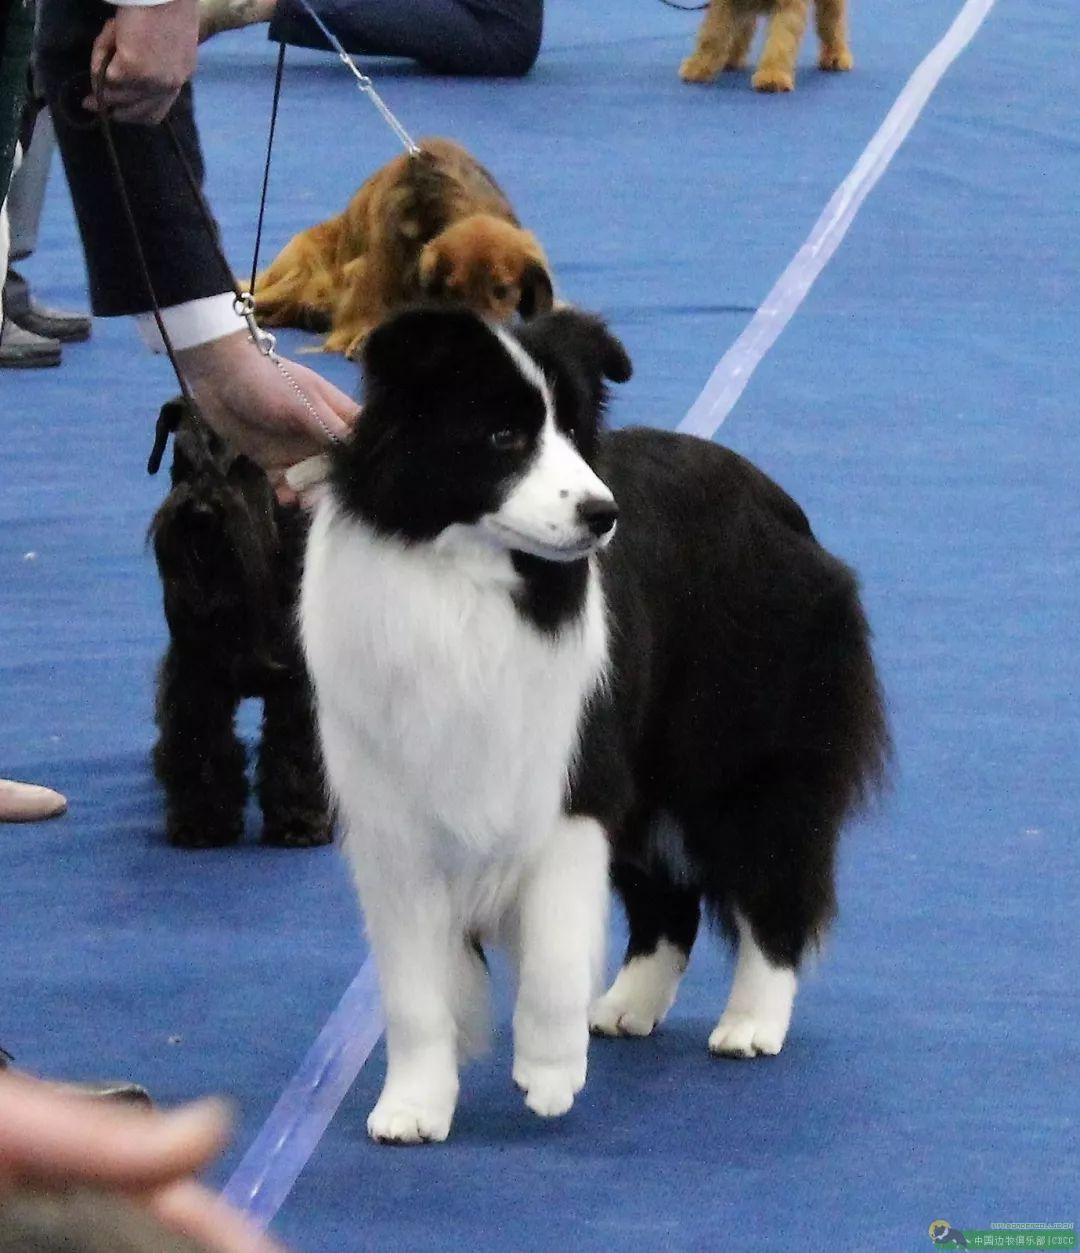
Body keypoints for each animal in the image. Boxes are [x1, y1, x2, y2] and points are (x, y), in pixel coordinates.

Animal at [149, 398, 331, 850]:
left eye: (243, 463)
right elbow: (201, 739)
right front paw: (202, 819)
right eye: (182, 459)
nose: (200, 514)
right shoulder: (196, 673)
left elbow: (294, 746)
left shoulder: (297, 680)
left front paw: (298, 818)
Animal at [300, 305, 887, 1143]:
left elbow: (551, 953)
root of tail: (777, 503)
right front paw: (412, 1106)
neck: (470, 586)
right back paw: (628, 1005)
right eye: (503, 436)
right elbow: (415, 990)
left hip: (736, 754)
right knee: (670, 898)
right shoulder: (394, 817)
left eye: (576, 433)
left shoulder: (571, 782)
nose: (601, 513)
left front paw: (548, 1075)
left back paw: (751, 1022)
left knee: (774, 878)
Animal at [680, 0, 853, 93]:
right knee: (744, 26)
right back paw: (731, 59)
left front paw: (772, 75)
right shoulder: (726, 3)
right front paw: (699, 66)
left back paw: (835, 56)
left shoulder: (787, 6)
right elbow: (713, 34)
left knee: (832, 21)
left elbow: (780, 42)